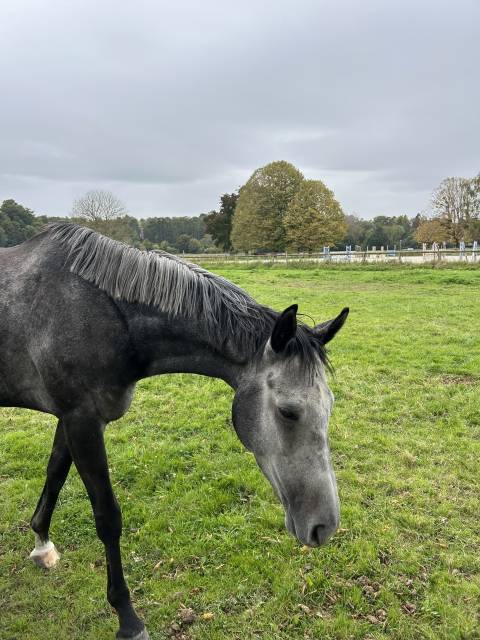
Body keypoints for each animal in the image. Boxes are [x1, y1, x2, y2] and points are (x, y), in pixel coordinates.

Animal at [0, 223, 348, 640]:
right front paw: (128, 618)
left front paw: (41, 544)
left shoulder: (70, 418)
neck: (107, 317)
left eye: (329, 405)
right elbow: (107, 518)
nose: (324, 526)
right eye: (288, 412)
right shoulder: (82, 421)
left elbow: (54, 473)